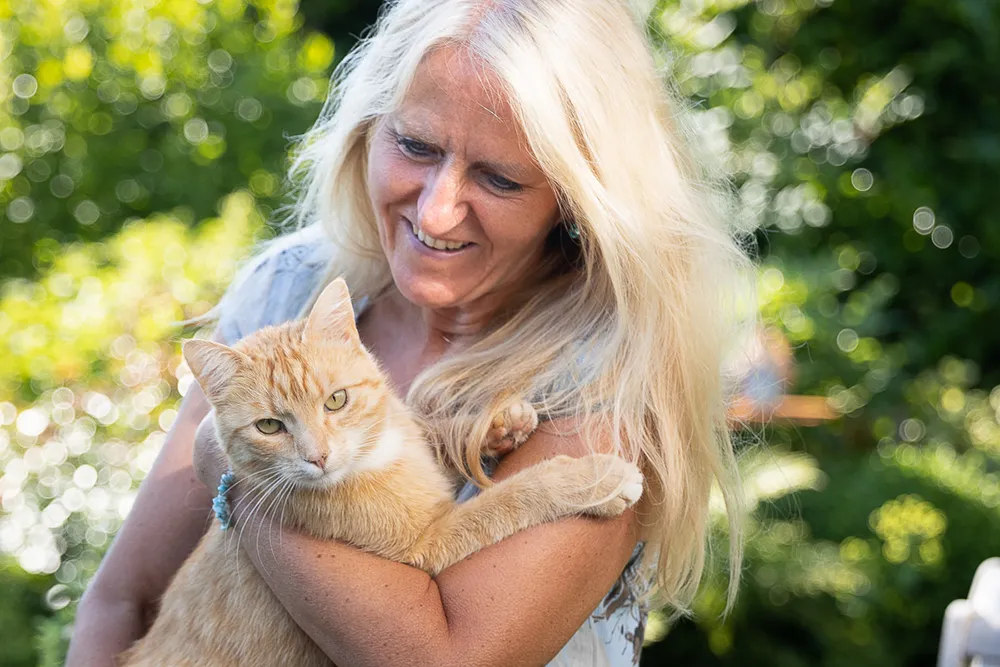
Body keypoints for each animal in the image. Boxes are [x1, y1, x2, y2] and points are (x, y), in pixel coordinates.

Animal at [117, 278, 644, 667]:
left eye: (336, 400)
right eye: (269, 426)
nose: (318, 457)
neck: (377, 456)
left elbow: (433, 431)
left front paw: (498, 424)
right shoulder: (428, 544)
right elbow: (511, 496)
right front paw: (594, 480)